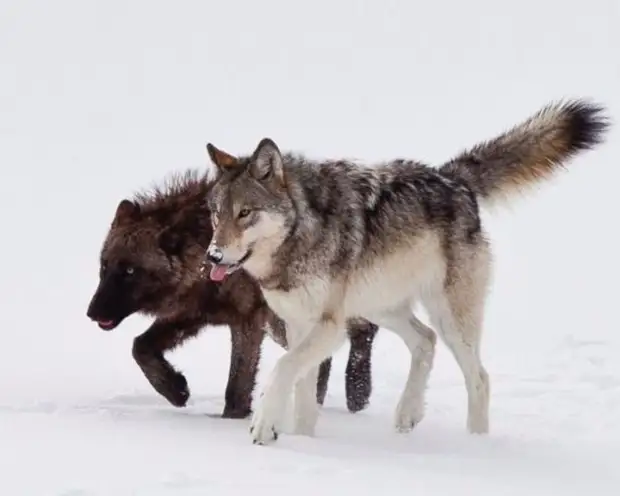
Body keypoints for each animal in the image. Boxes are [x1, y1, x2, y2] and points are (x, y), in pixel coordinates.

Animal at [85, 170, 380, 418]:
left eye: (130, 271)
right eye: (104, 266)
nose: (91, 313)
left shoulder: (247, 321)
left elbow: (237, 384)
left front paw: (231, 422)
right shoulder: (190, 314)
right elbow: (140, 346)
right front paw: (176, 390)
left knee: (363, 331)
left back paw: (357, 391)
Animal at [205, 97, 612, 442]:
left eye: (245, 213)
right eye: (216, 213)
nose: (213, 256)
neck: (302, 231)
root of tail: (454, 179)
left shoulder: (328, 327)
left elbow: (282, 369)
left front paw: (264, 427)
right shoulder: (299, 324)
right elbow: (303, 391)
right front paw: (301, 440)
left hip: (448, 318)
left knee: (479, 377)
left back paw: (476, 444)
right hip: (380, 307)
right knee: (426, 340)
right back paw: (407, 413)